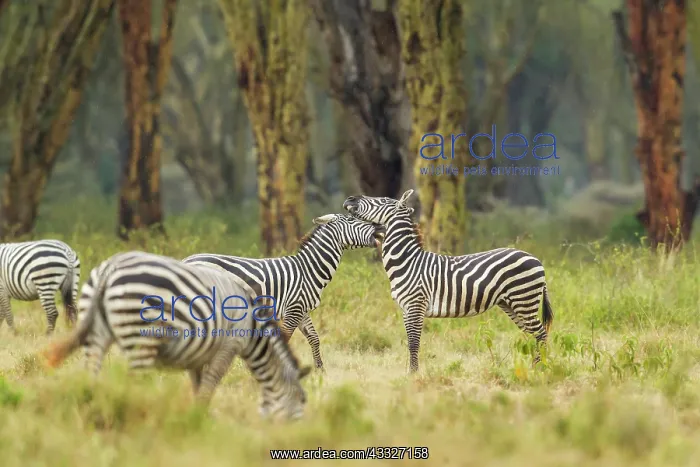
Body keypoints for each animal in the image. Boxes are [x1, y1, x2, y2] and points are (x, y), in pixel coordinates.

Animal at [41, 250, 311, 419]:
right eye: (302, 400)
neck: (255, 331)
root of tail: (110, 268)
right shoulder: (228, 347)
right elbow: (210, 385)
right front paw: (199, 418)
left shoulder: (200, 353)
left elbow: (198, 385)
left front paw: (198, 417)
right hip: (140, 338)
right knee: (133, 382)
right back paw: (134, 413)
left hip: (96, 333)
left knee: (91, 372)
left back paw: (92, 406)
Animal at [182, 213, 385, 370]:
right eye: (351, 219)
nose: (380, 226)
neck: (308, 270)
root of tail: (186, 260)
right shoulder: (294, 309)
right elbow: (285, 340)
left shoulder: (302, 310)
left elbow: (314, 338)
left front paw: (321, 371)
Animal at [343, 189, 554, 373]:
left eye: (383, 200)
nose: (350, 198)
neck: (407, 261)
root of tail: (536, 259)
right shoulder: (406, 309)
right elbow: (410, 342)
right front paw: (411, 372)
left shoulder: (416, 305)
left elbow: (414, 342)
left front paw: (413, 375)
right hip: (511, 304)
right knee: (533, 334)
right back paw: (534, 367)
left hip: (524, 300)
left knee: (540, 333)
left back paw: (540, 368)